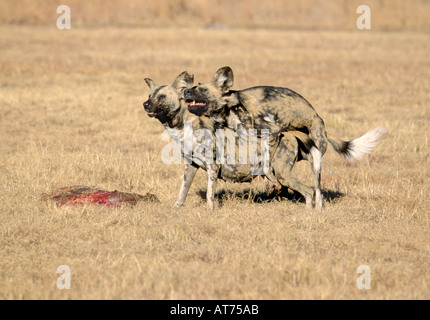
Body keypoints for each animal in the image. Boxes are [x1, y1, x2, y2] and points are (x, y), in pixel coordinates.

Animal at [143, 71, 314, 209]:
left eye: (162, 96)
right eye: (149, 96)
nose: (145, 104)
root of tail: (291, 134)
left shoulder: (212, 167)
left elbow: (209, 195)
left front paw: (210, 210)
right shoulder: (191, 166)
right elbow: (182, 191)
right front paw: (177, 207)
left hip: (282, 174)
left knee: (309, 190)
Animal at [184, 66, 386, 210]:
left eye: (202, 90)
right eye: (193, 87)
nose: (186, 92)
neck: (231, 107)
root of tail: (320, 121)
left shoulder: (272, 132)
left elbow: (266, 166)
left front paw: (269, 182)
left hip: (316, 161)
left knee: (317, 190)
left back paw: (316, 208)